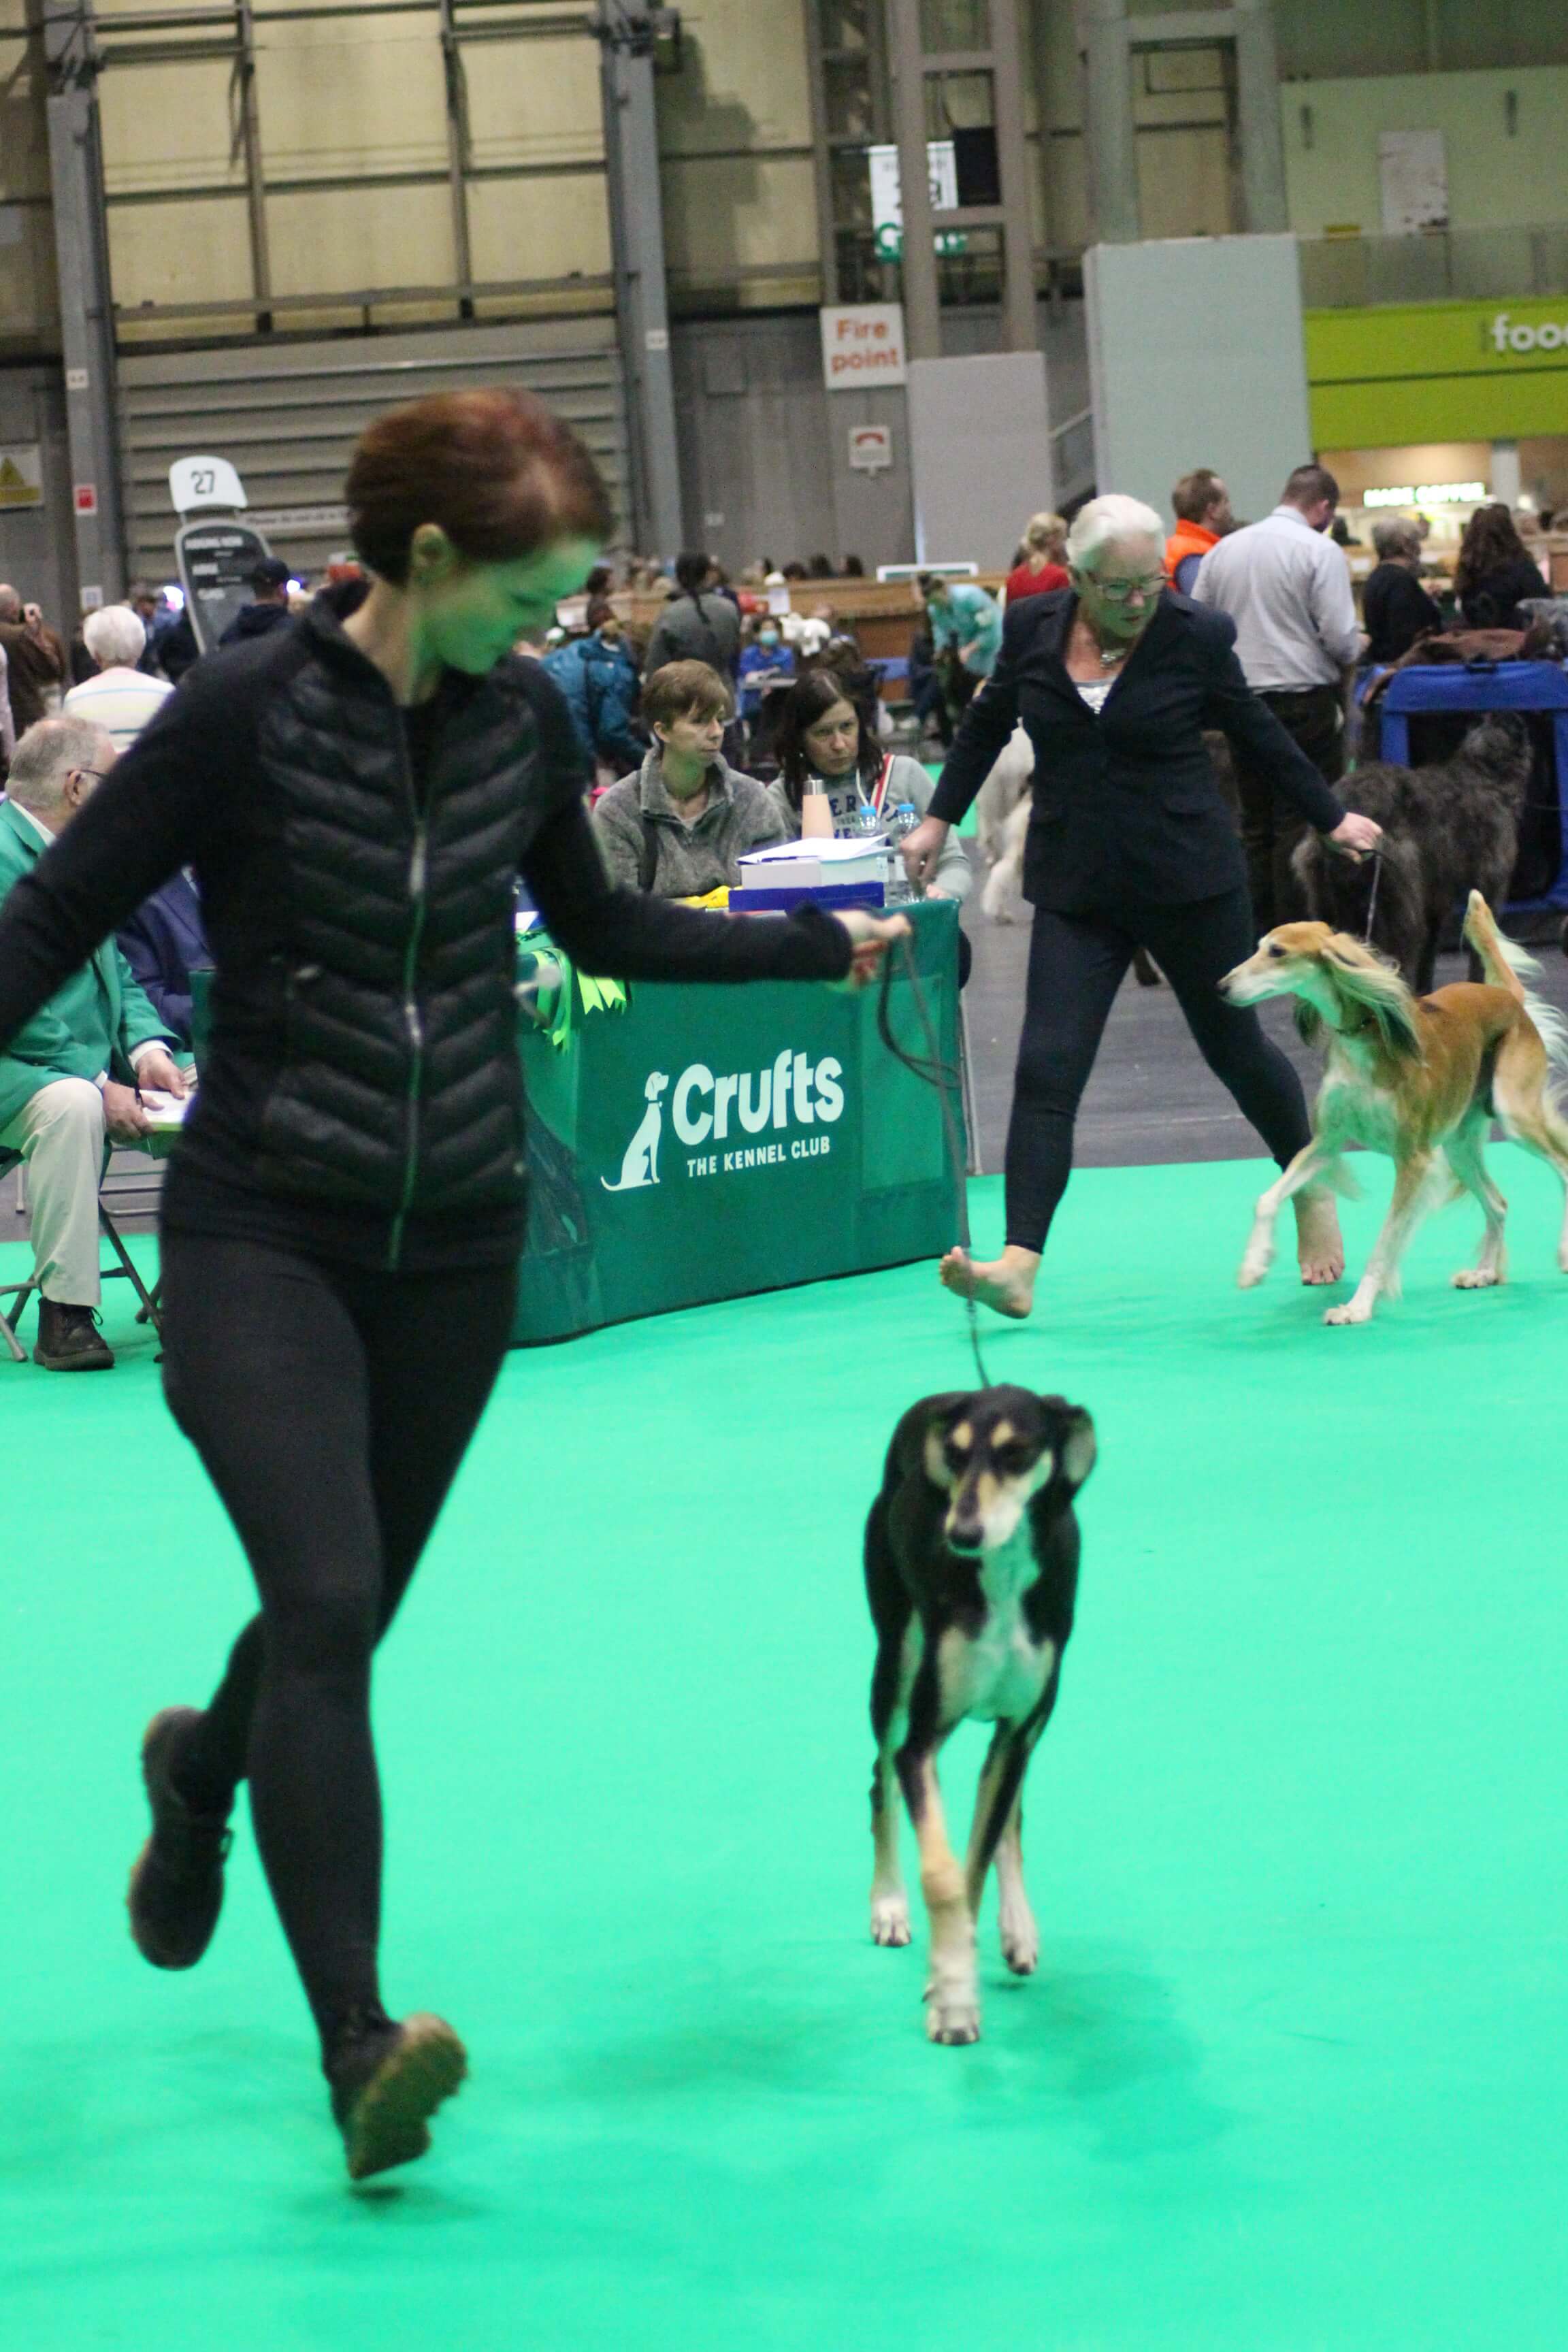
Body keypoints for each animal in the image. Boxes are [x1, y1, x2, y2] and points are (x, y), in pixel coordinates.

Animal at [1222, 889, 1568, 1326]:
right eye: (1258, 946)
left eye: (1278, 951)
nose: (1221, 987)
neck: (1363, 1036)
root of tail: (1507, 996)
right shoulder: (1327, 1142)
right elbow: (1266, 1199)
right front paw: (1254, 1265)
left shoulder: (1413, 1159)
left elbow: (1385, 1242)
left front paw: (1356, 1307)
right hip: (1459, 1146)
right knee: (1498, 1204)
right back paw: (1485, 1272)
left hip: (1514, 1113)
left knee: (1562, 1164)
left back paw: (1562, 1251)